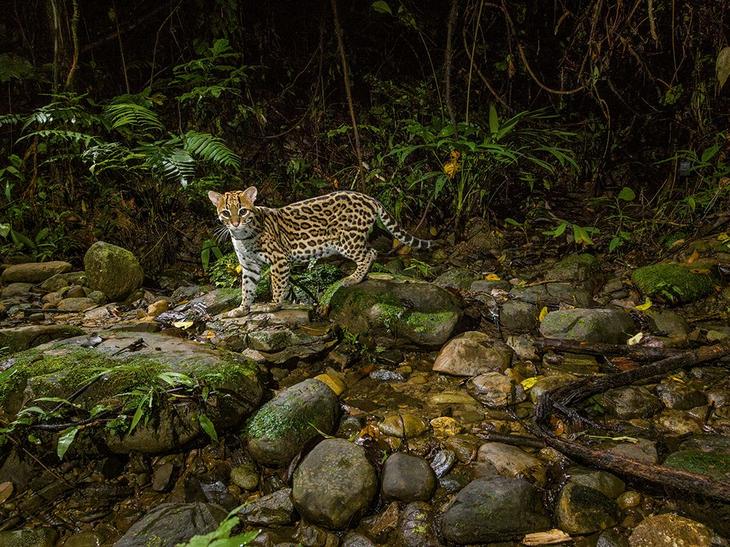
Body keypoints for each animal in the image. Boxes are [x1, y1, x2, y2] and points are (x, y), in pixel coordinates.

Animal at [208, 187, 430, 316]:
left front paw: (273, 305)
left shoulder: (279, 260)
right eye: (226, 212)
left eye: (243, 210)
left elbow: (278, 285)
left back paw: (354, 278)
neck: (242, 236)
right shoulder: (249, 266)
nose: (235, 223)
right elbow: (247, 288)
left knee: (370, 253)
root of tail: (368, 197)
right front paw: (242, 309)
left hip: (346, 240)